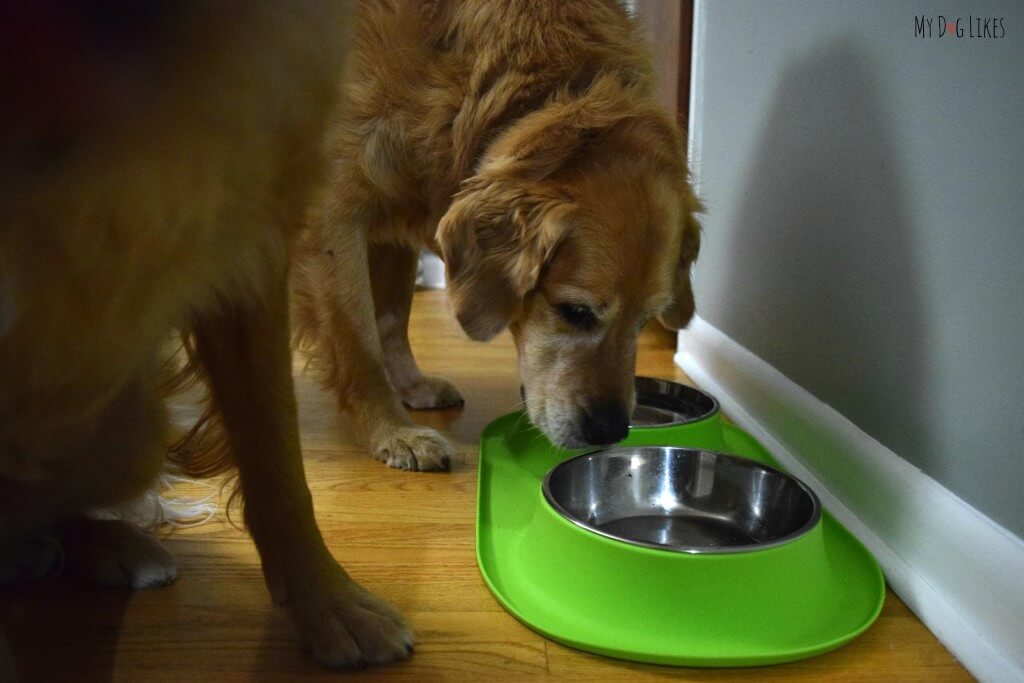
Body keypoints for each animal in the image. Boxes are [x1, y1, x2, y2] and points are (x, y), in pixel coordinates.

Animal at [292, 0, 700, 471]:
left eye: (645, 319)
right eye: (574, 311)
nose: (610, 431)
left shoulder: (395, 219)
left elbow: (391, 320)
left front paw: (411, 387)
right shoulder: (333, 216)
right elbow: (361, 346)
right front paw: (393, 432)